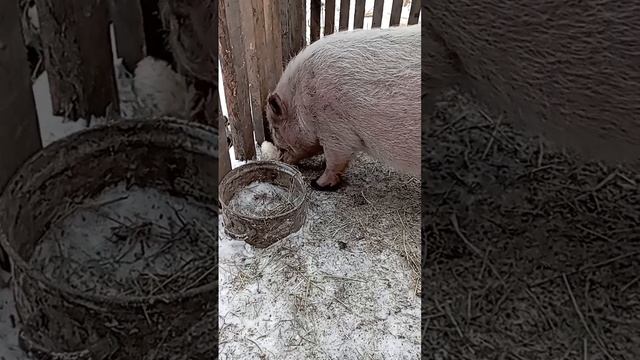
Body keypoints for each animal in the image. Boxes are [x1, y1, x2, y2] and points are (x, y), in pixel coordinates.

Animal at [264, 24, 420, 191]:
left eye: (275, 128)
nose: (281, 159)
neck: (301, 102)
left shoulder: (335, 130)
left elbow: (335, 161)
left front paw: (317, 184)